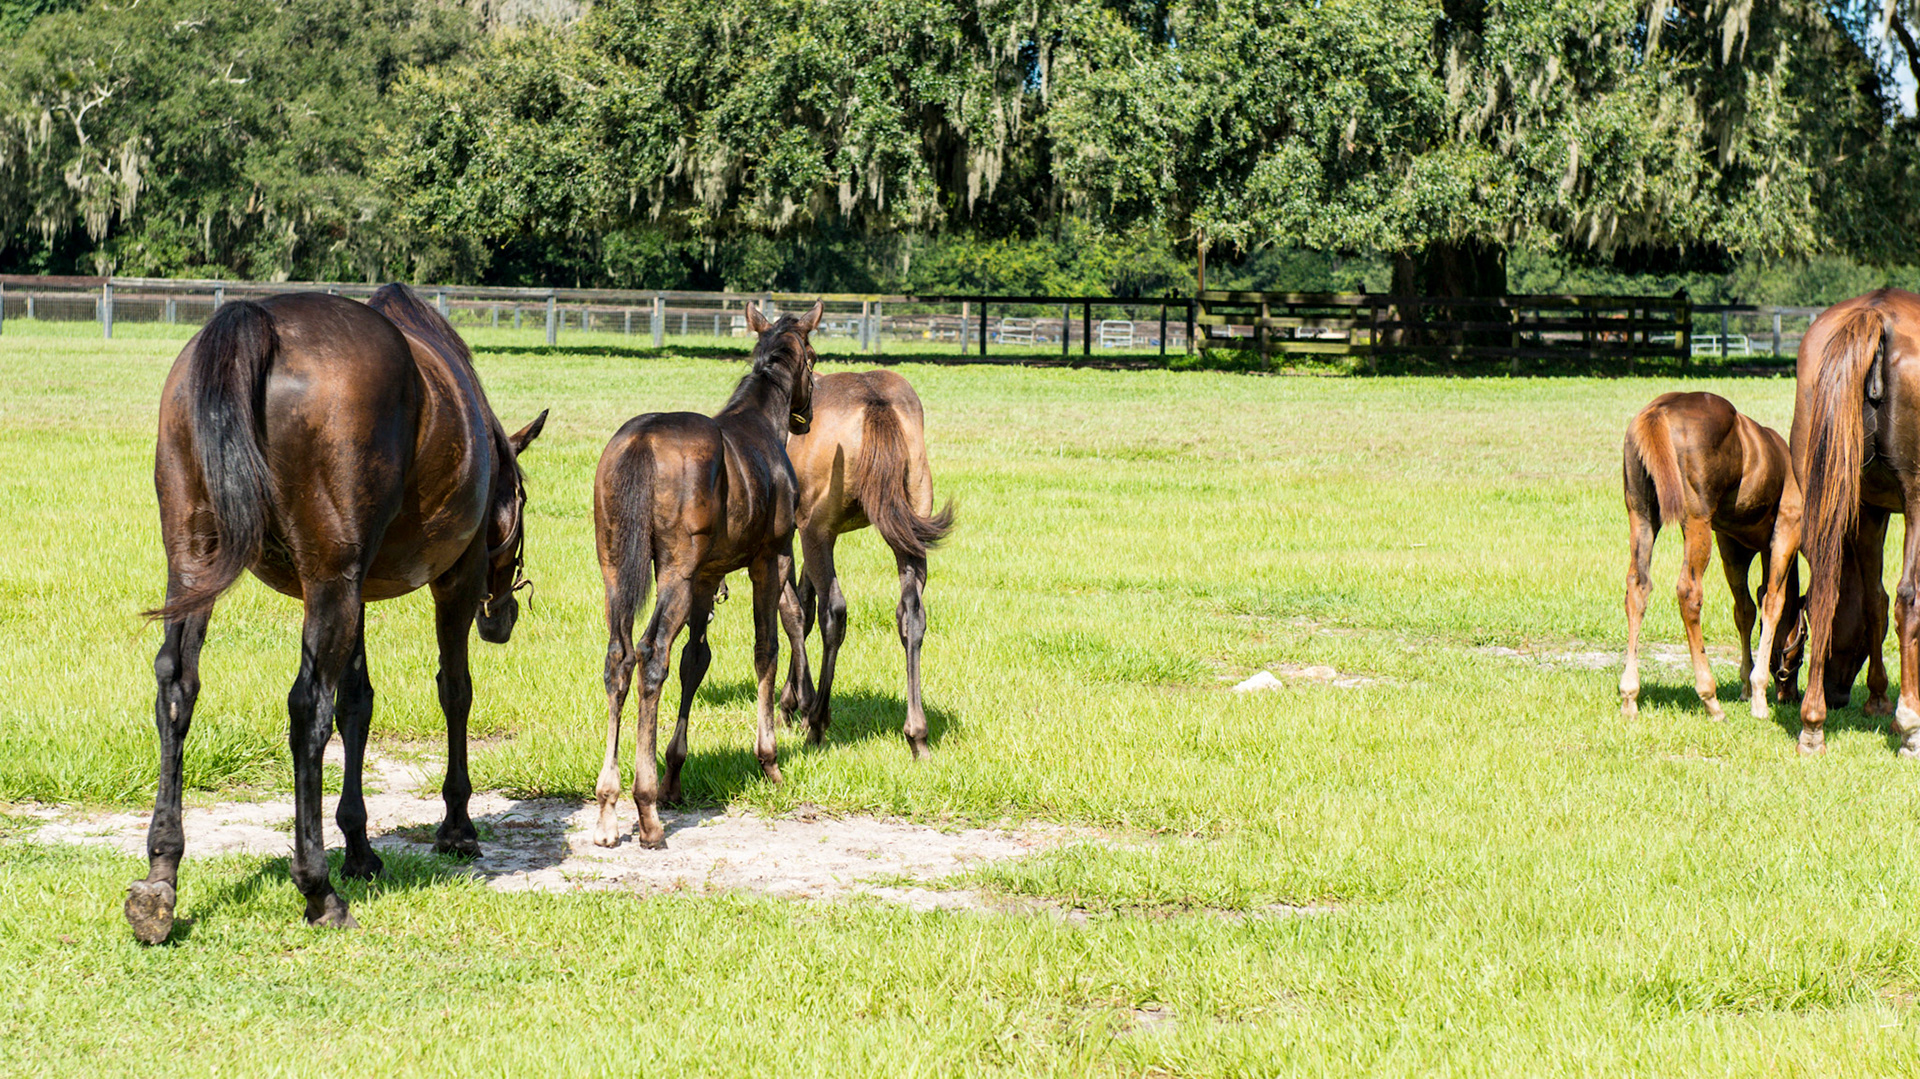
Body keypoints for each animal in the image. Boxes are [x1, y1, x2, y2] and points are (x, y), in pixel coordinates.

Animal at [128, 285, 547, 943]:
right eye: (522, 507)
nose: (500, 620)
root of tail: (260, 321)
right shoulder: (453, 583)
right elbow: (453, 691)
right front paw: (456, 826)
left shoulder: (358, 594)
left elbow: (358, 701)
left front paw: (360, 845)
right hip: (331, 584)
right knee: (307, 708)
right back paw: (317, 888)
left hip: (195, 563)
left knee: (178, 685)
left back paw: (161, 877)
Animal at [591, 301, 819, 849]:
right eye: (815, 358)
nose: (810, 411)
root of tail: (640, 441)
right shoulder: (771, 559)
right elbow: (767, 646)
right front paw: (769, 760)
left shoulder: (706, 578)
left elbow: (696, 660)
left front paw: (675, 772)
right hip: (674, 573)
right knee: (651, 654)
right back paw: (646, 810)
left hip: (616, 569)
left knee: (619, 657)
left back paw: (608, 807)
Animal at [778, 371, 955, 759]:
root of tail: (876, 404)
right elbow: (802, 605)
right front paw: (792, 700)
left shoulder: (796, 534)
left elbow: (794, 610)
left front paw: (796, 704)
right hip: (906, 530)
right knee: (911, 614)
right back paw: (917, 734)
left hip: (818, 531)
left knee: (833, 612)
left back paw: (817, 723)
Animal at [1620, 391, 1804, 721]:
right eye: (1802, 649)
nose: (1790, 696)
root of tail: (1658, 411)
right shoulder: (1786, 531)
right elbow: (1773, 602)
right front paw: (1758, 696)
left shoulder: (1732, 546)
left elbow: (1745, 609)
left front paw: (1746, 688)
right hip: (1696, 522)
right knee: (1689, 592)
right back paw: (1710, 698)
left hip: (1641, 516)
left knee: (1637, 586)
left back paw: (1630, 695)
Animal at [1790, 288, 1920, 754]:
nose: (1835, 691)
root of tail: (1874, 315)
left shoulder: (1870, 511)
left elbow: (1871, 602)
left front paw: (1878, 698)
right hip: (1917, 499)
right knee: (1909, 598)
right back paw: (1911, 725)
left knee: (1826, 589)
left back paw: (1812, 724)